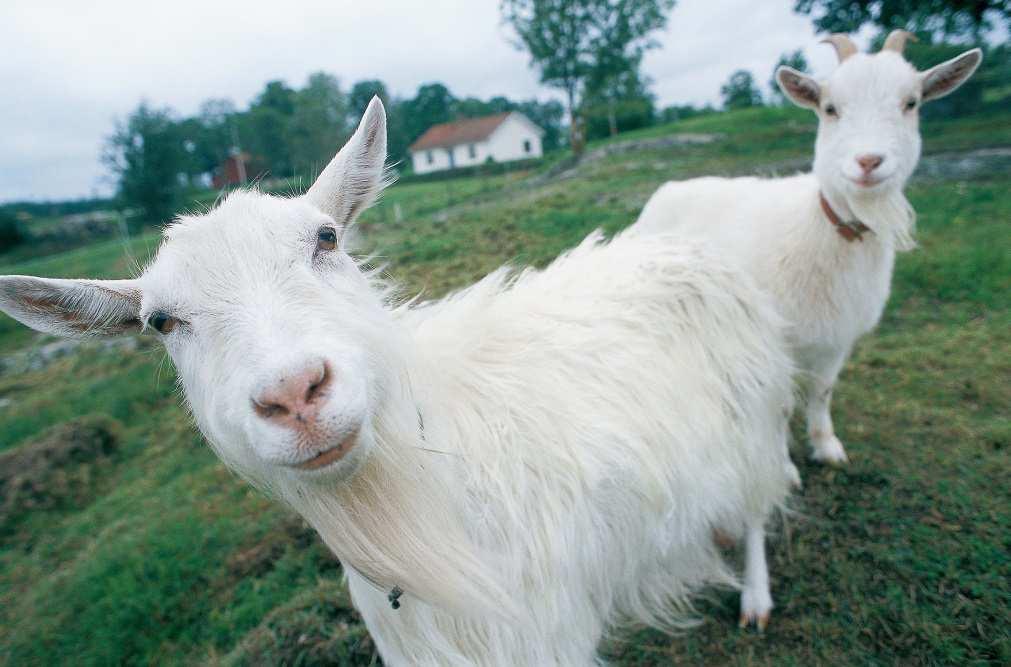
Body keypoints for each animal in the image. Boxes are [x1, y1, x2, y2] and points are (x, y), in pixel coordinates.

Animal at [0, 100, 796, 667]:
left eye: (326, 238)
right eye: (162, 321)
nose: (295, 393)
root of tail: (683, 246)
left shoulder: (542, 628)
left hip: (753, 412)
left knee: (758, 505)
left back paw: (755, 595)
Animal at [638, 31, 978, 466]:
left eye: (911, 103)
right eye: (829, 108)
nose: (869, 161)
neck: (825, 230)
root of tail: (667, 190)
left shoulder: (837, 338)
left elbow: (821, 392)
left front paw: (826, 445)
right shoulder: (776, 341)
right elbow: (781, 405)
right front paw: (783, 462)